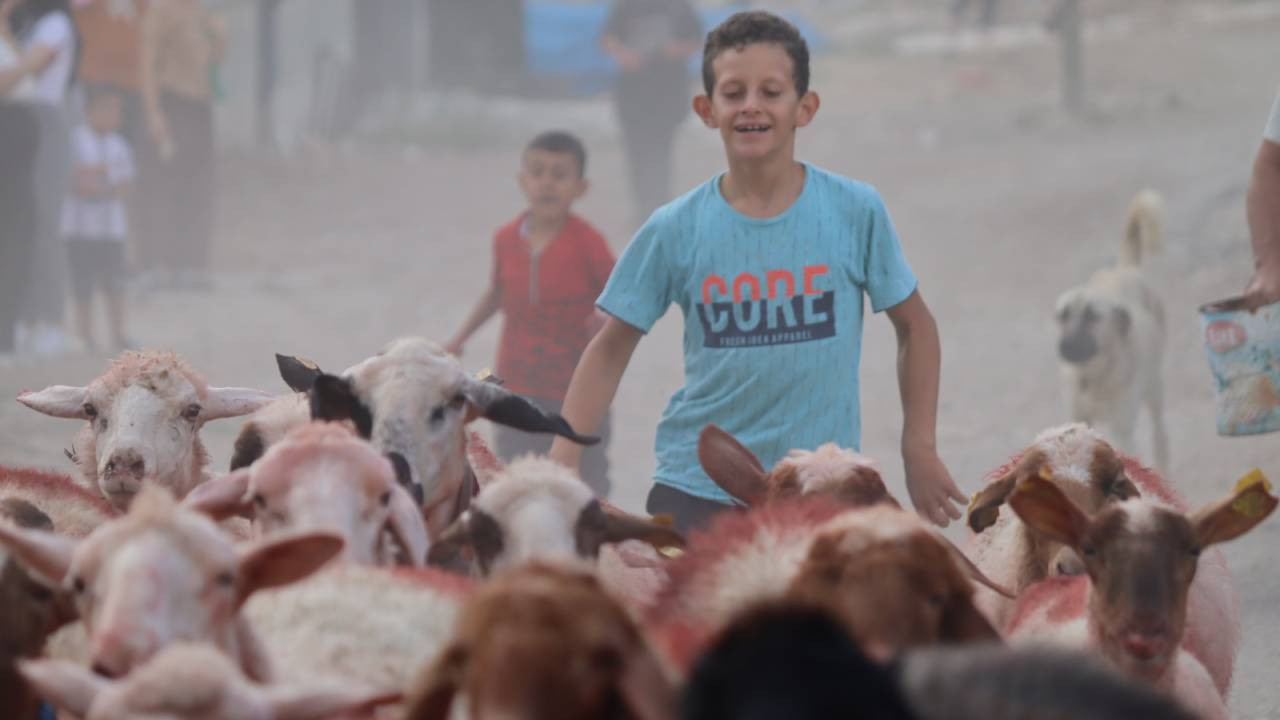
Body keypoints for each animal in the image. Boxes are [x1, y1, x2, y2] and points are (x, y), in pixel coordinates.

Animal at [1049, 190, 1172, 468]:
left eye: (1092, 316)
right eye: (1063, 315)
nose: (1064, 346)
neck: (1093, 376)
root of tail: (1124, 268)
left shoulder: (1122, 428)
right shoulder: (1078, 417)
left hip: (1155, 388)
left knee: (1160, 435)